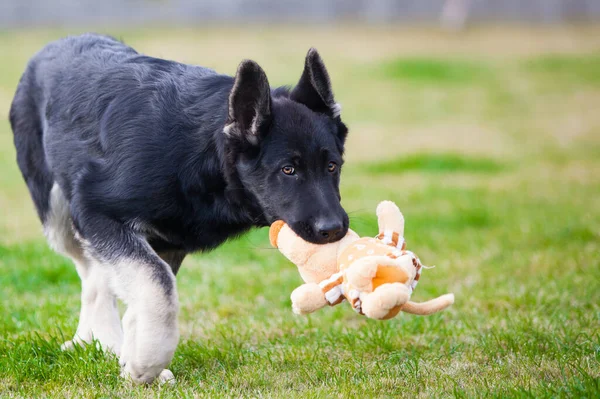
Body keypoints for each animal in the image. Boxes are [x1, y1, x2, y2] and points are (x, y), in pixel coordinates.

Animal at [8, 34, 346, 384]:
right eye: (288, 170)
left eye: (332, 167)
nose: (334, 230)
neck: (203, 153)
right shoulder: (96, 211)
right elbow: (158, 286)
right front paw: (146, 362)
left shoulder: (168, 241)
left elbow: (150, 289)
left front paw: (134, 358)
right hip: (58, 211)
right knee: (90, 275)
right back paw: (98, 340)